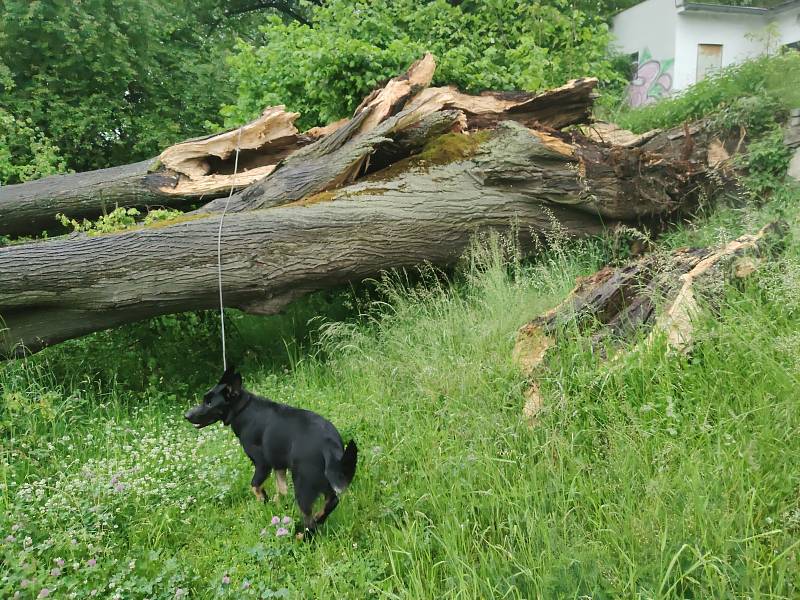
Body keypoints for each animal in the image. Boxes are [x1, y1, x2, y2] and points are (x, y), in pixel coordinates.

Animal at [186, 366, 358, 540]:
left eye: (209, 403)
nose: (186, 415)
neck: (243, 409)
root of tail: (328, 444)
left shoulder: (262, 464)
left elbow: (255, 486)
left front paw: (264, 501)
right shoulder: (278, 463)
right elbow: (281, 489)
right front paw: (277, 503)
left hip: (302, 484)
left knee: (309, 520)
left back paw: (301, 536)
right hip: (326, 479)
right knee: (331, 502)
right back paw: (318, 518)